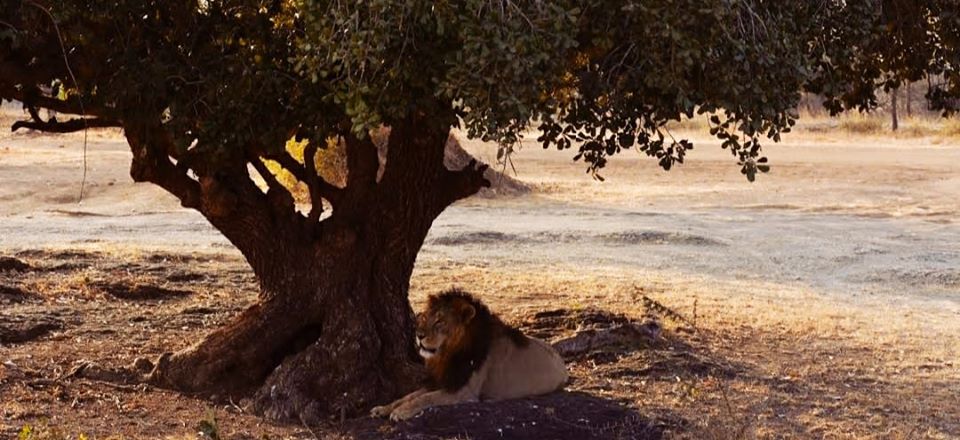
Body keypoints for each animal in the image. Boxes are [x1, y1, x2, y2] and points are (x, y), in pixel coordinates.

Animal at [368, 288, 564, 422]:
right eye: (425, 317)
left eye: (439, 321)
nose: (419, 335)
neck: (448, 354)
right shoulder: (444, 380)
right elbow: (410, 395)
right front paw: (384, 408)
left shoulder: (463, 390)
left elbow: (425, 398)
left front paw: (400, 412)